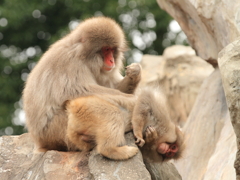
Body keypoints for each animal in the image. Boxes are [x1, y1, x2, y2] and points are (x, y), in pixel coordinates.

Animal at [22, 17, 141, 152]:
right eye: (106, 49)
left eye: (112, 50)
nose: (112, 61)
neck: (82, 55)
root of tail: (39, 140)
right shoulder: (69, 63)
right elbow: (75, 91)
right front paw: (133, 99)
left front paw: (134, 73)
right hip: (56, 130)